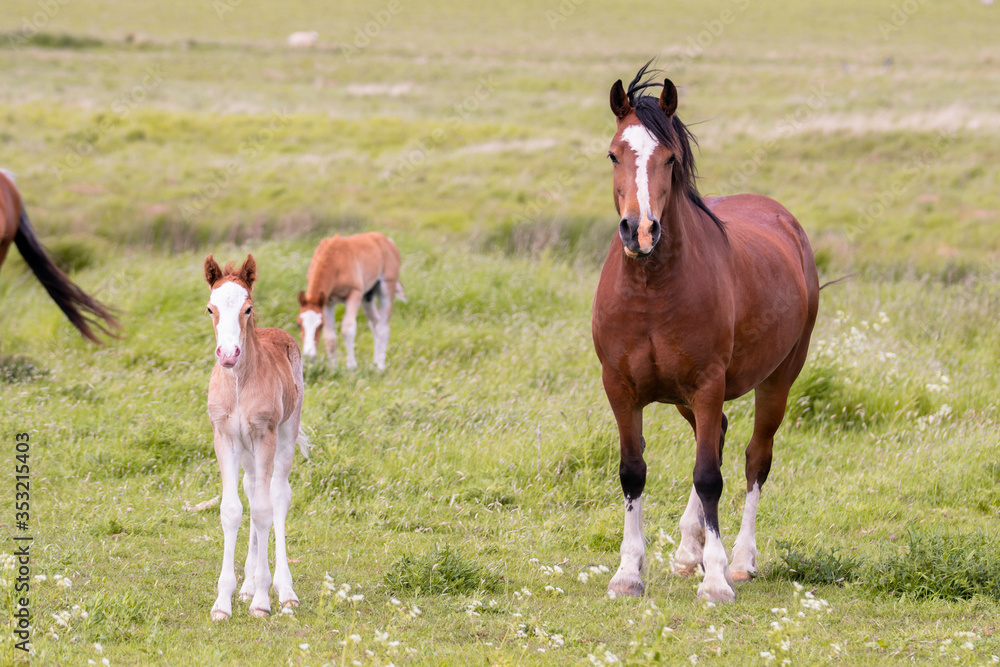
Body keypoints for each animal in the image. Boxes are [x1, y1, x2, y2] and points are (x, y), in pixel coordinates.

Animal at [203, 254, 311, 620]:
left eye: (248, 308)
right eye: (210, 308)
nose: (228, 354)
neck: (238, 383)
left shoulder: (265, 435)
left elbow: (264, 510)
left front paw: (263, 600)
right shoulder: (225, 437)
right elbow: (232, 510)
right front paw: (223, 602)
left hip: (285, 432)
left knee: (277, 495)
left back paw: (286, 591)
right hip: (248, 450)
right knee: (252, 489)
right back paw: (248, 584)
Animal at [297, 231, 405, 371]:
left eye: (320, 326)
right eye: (298, 325)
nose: (309, 355)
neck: (336, 262)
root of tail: (388, 241)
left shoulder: (355, 293)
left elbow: (348, 328)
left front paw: (351, 366)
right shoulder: (328, 302)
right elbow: (330, 337)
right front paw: (333, 368)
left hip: (386, 288)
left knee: (383, 327)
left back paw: (380, 367)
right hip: (367, 297)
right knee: (375, 322)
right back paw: (375, 363)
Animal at [591, 63, 820, 602]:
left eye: (670, 157)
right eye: (613, 153)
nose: (640, 231)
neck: (652, 290)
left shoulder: (708, 384)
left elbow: (710, 475)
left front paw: (715, 579)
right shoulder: (620, 387)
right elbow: (632, 471)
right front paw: (629, 573)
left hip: (776, 380)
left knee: (755, 458)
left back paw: (740, 561)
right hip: (683, 398)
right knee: (716, 437)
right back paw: (686, 550)